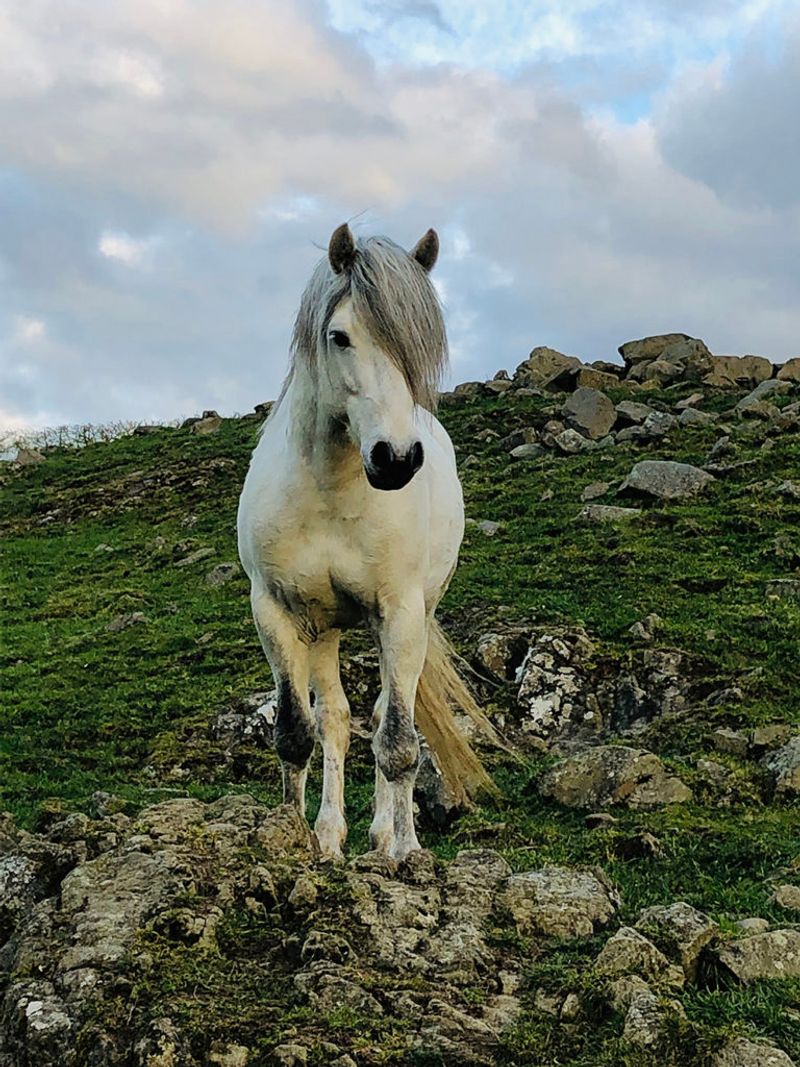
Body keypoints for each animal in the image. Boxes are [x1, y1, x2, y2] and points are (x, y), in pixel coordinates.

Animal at [234, 223, 492, 857]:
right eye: (339, 336)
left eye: (420, 347)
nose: (396, 459)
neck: (330, 489)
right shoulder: (277, 612)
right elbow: (298, 733)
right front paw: (295, 837)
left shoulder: (399, 613)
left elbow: (397, 741)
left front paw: (402, 852)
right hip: (325, 629)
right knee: (336, 717)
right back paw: (332, 834)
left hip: (411, 618)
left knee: (383, 717)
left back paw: (387, 835)